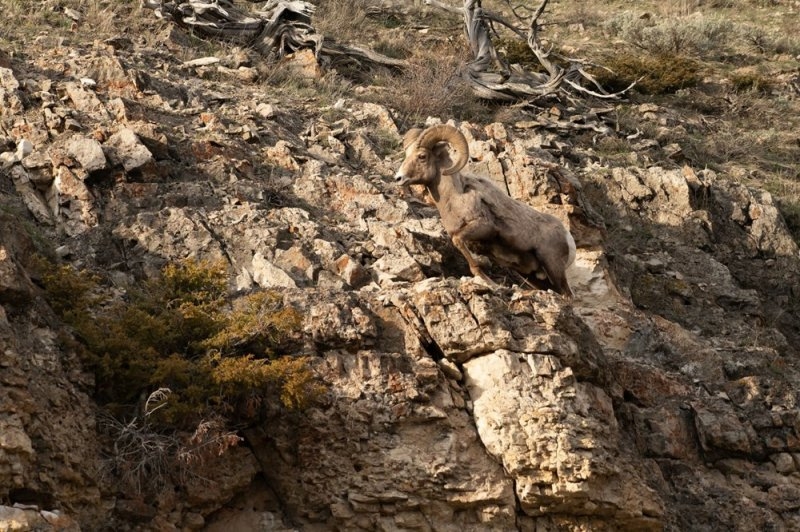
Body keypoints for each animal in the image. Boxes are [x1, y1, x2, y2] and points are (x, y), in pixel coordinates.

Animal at [394, 125, 576, 300]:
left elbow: (458, 241)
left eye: (422, 156)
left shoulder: (484, 227)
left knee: (567, 294)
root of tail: (568, 237)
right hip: (534, 277)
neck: (455, 197)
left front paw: (486, 280)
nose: (398, 178)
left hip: (553, 266)